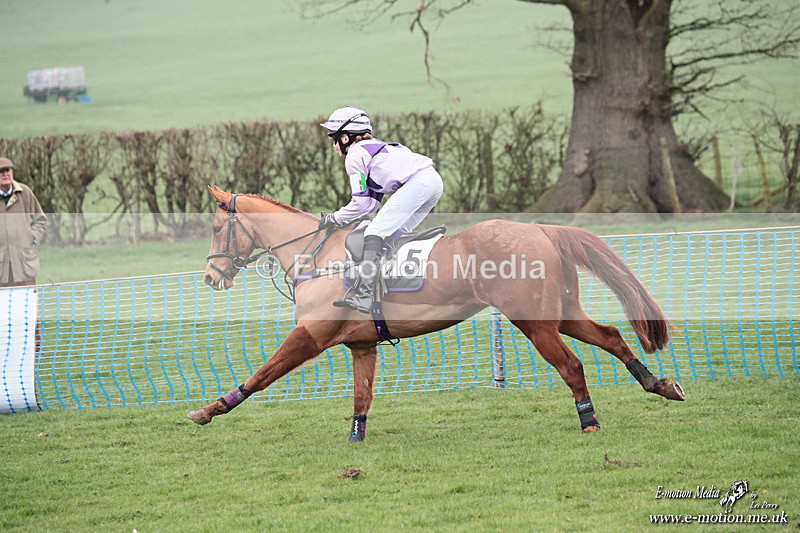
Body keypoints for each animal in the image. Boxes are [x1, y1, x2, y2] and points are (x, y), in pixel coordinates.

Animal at [188, 186, 685, 441]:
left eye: (215, 227)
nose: (211, 277)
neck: (316, 255)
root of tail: (540, 228)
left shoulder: (310, 335)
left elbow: (261, 375)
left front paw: (211, 410)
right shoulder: (362, 344)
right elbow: (361, 398)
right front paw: (356, 441)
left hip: (534, 321)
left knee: (572, 365)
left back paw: (589, 420)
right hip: (560, 312)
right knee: (610, 335)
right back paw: (658, 384)